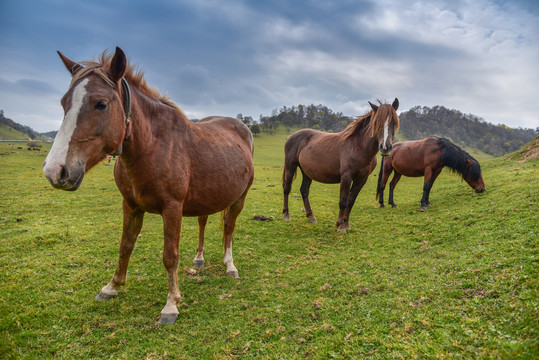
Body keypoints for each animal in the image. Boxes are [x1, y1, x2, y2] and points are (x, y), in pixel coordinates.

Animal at [42, 47, 255, 324]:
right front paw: (111, 287)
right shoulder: (131, 206)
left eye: (101, 104)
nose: (54, 170)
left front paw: (171, 304)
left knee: (229, 228)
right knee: (203, 222)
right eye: (64, 103)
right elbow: (125, 246)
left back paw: (230, 265)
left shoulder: (172, 209)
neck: (153, 145)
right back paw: (199, 258)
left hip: (239, 198)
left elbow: (170, 256)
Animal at [282, 100, 400, 232]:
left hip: (306, 172)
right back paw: (286, 215)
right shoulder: (346, 177)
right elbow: (343, 201)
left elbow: (351, 201)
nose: (385, 147)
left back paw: (311, 217)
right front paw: (341, 226)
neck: (358, 147)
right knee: (287, 188)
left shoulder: (361, 179)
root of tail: (291, 136)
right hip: (290, 166)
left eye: (393, 122)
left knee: (304, 191)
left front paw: (346, 223)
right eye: (376, 123)